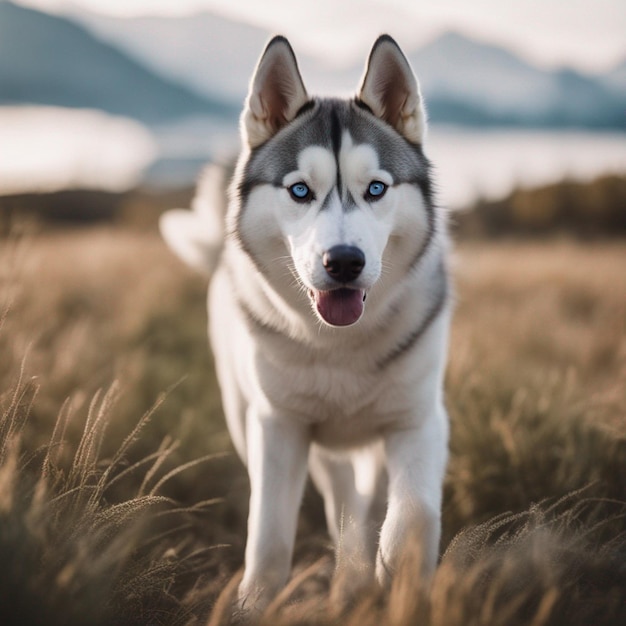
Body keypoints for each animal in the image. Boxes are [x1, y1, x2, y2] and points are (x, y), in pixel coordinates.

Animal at [158, 33, 450, 608]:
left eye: (376, 189)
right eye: (299, 191)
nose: (344, 261)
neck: (342, 345)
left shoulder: (419, 420)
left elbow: (414, 515)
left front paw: (399, 578)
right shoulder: (279, 428)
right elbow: (269, 533)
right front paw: (254, 603)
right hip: (252, 417)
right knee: (341, 498)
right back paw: (350, 572)